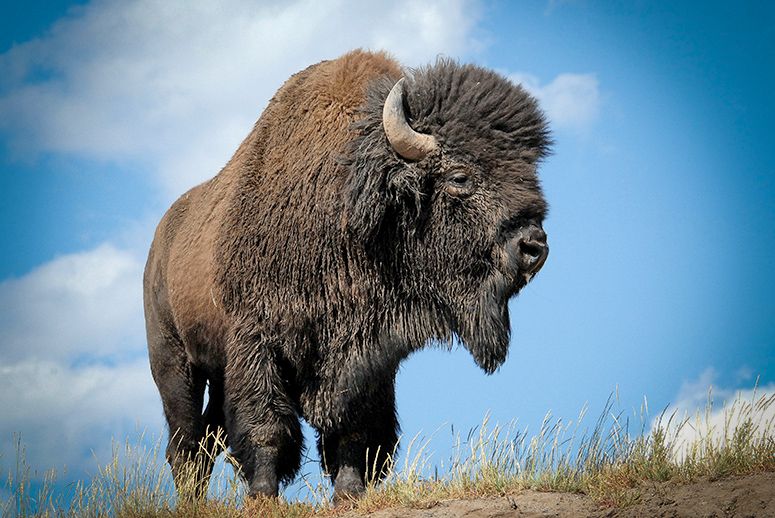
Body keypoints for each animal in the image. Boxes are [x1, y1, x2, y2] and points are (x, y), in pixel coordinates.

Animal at [143, 49, 550, 500]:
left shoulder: (370, 353)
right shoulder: (256, 340)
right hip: (173, 362)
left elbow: (354, 425)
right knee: (186, 439)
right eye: (460, 177)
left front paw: (349, 492)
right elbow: (266, 424)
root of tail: (160, 241)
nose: (534, 246)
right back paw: (190, 498)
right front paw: (264, 494)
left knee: (208, 438)